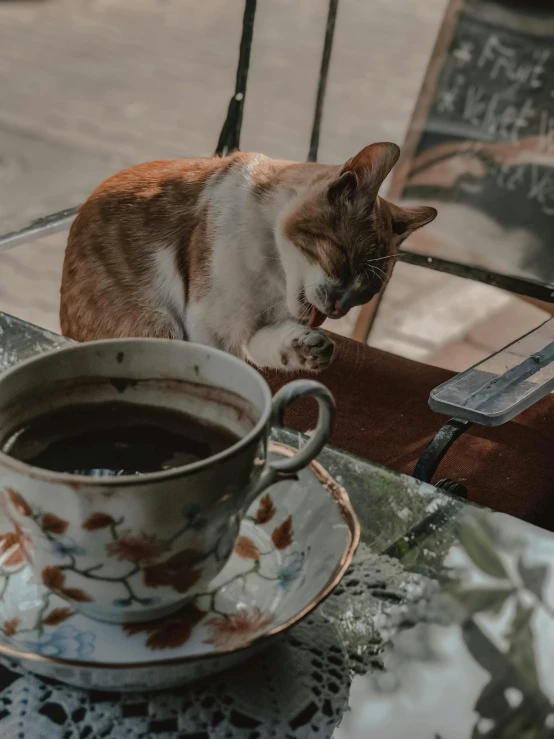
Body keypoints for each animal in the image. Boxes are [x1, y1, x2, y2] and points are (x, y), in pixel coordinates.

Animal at [58, 142, 434, 372]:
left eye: (367, 293)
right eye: (344, 262)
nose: (338, 310)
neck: (273, 273)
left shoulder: (255, 330)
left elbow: (270, 349)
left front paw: (307, 349)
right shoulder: (211, 327)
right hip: (156, 325)